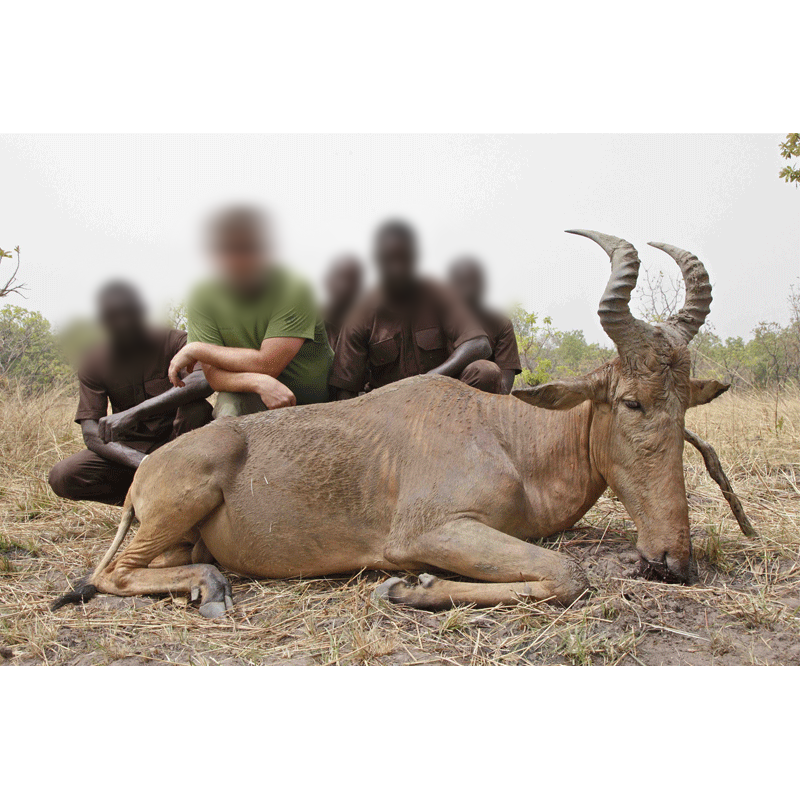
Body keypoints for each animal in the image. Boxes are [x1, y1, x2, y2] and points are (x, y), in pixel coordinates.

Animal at [54, 231, 732, 620]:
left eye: (684, 406)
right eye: (632, 403)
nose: (672, 561)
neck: (505, 435)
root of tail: (147, 476)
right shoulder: (427, 531)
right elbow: (569, 575)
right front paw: (406, 588)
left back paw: (207, 587)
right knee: (106, 574)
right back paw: (214, 591)